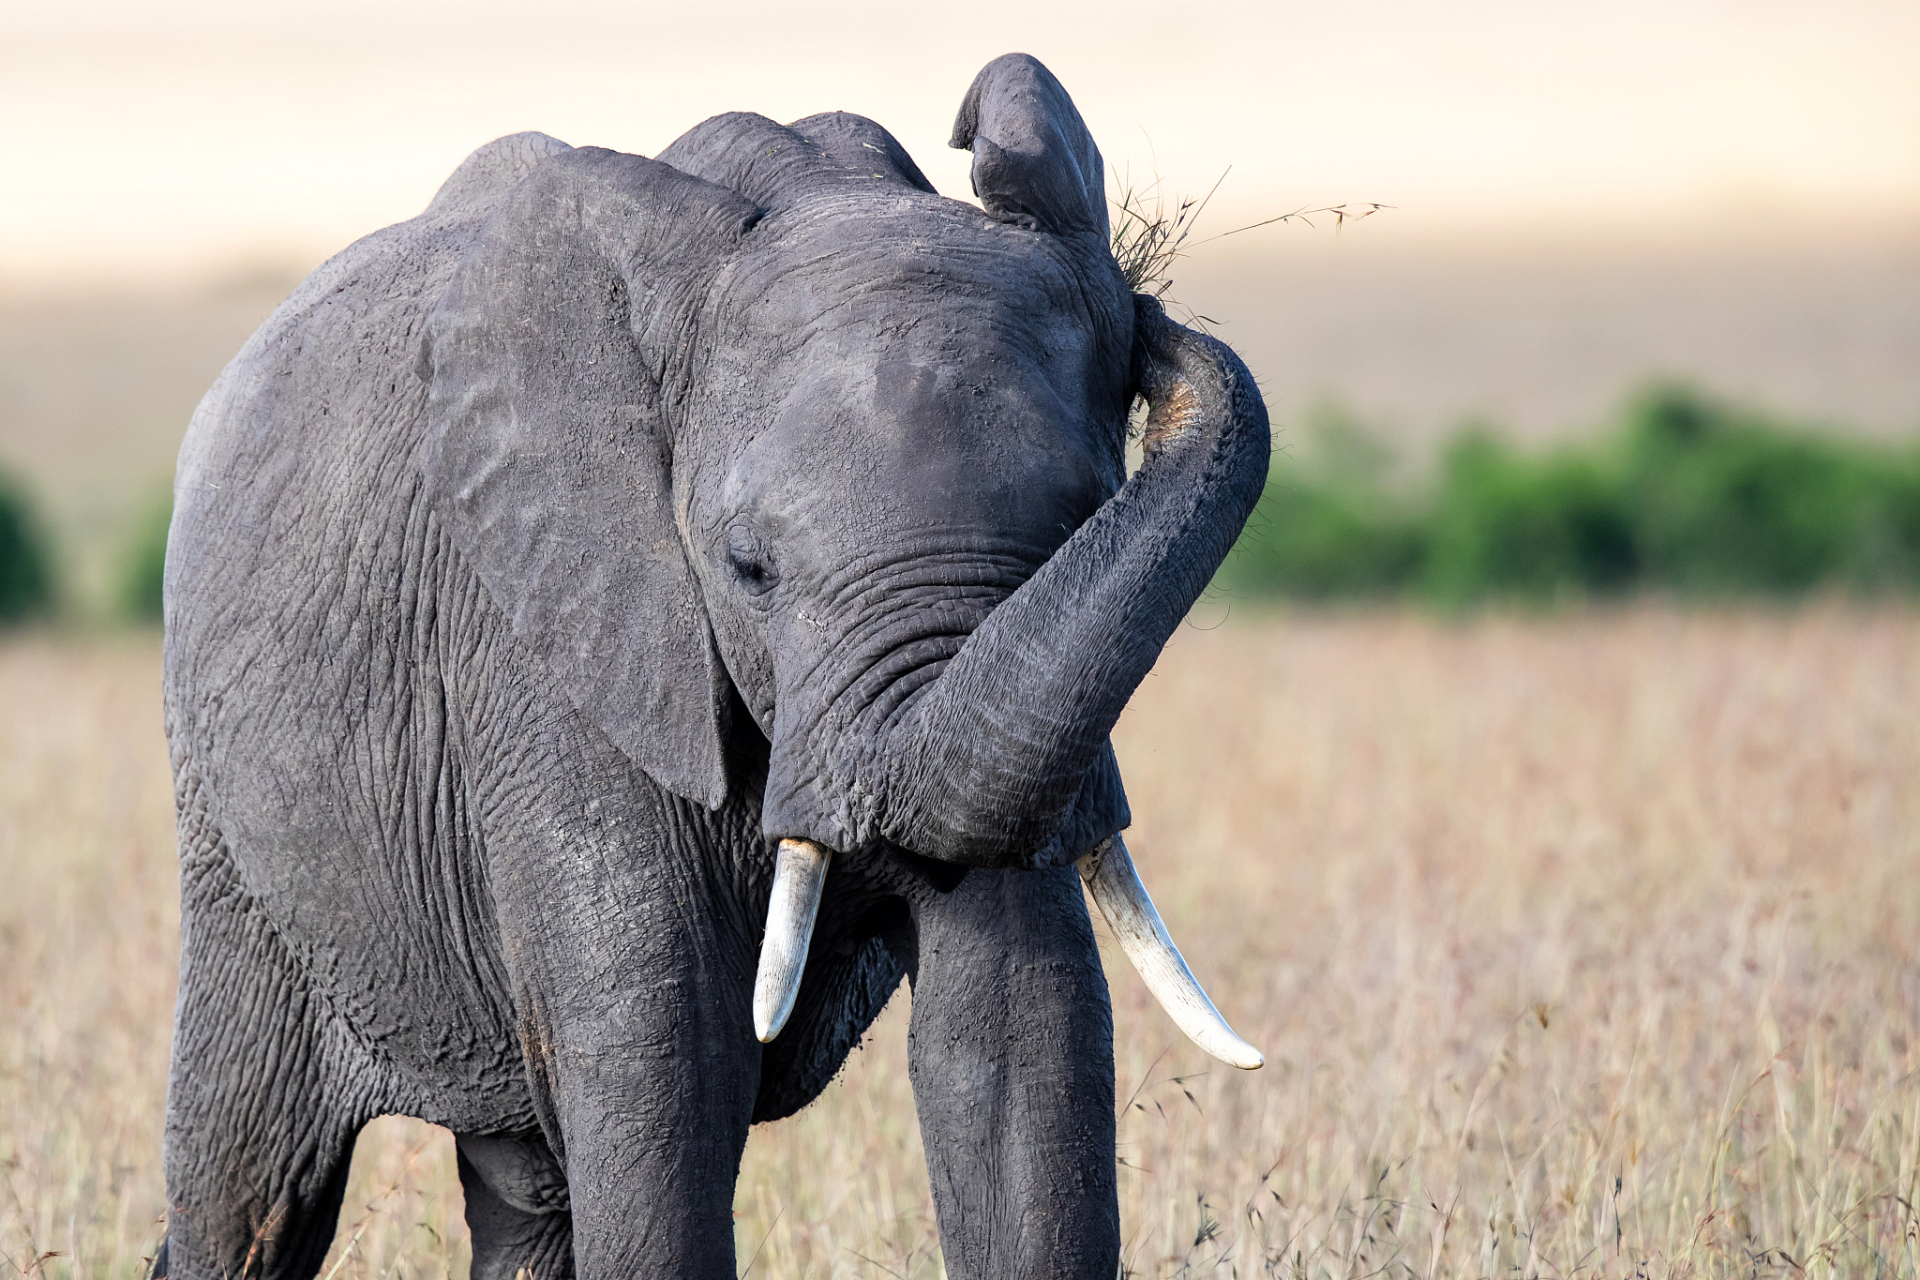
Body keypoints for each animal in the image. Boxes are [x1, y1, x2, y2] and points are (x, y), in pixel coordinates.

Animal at [157, 50, 1267, 1280]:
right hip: (236, 842)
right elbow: (665, 1061)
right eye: (748, 566)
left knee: (525, 1193)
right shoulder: (552, 647)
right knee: (250, 1184)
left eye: (1085, 518)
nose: (1153, 315)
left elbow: (1021, 1030)